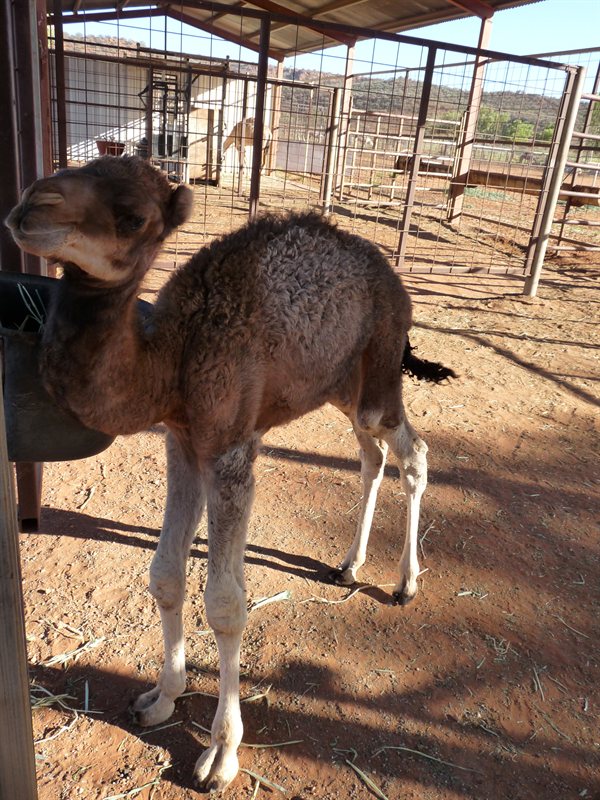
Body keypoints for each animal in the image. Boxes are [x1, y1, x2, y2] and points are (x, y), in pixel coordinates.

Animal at [6, 155, 454, 793]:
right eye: (81, 166)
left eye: (132, 216)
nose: (32, 205)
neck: (172, 357)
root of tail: (392, 277)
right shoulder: (183, 439)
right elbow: (166, 574)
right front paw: (159, 699)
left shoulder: (230, 450)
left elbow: (224, 603)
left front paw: (220, 754)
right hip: (340, 384)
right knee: (371, 455)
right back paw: (347, 566)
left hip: (378, 371)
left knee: (410, 451)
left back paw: (405, 583)